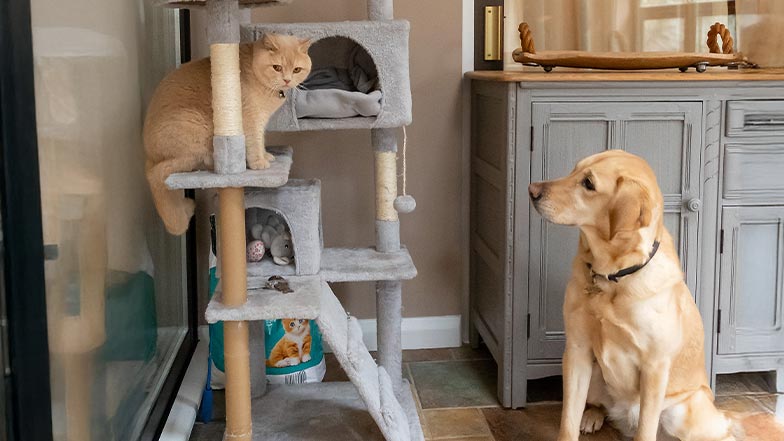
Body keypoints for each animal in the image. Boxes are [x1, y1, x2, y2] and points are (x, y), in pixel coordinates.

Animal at [142, 34, 310, 234]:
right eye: (277, 67)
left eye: (296, 69)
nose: (286, 80)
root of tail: (148, 155)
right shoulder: (251, 119)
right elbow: (254, 143)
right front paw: (258, 163)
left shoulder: (260, 122)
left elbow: (260, 140)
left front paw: (266, 155)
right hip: (195, 129)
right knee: (167, 170)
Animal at [528, 151, 740, 440]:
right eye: (574, 170)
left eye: (588, 183)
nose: (532, 190)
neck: (612, 277)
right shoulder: (576, 351)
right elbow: (568, 421)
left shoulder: (654, 367)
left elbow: (646, 429)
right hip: (593, 374)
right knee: (596, 405)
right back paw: (592, 416)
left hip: (685, 411)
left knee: (721, 429)